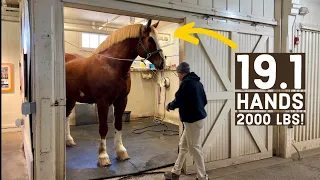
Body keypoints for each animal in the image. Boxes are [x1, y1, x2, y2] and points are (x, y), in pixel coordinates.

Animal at [64, 19, 165, 167]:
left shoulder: (121, 100)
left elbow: (118, 125)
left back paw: (68, 140)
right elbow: (103, 128)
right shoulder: (102, 102)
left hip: (71, 98)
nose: (162, 63)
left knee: (66, 116)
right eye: (151, 39)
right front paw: (103, 156)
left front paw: (121, 152)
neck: (112, 65)